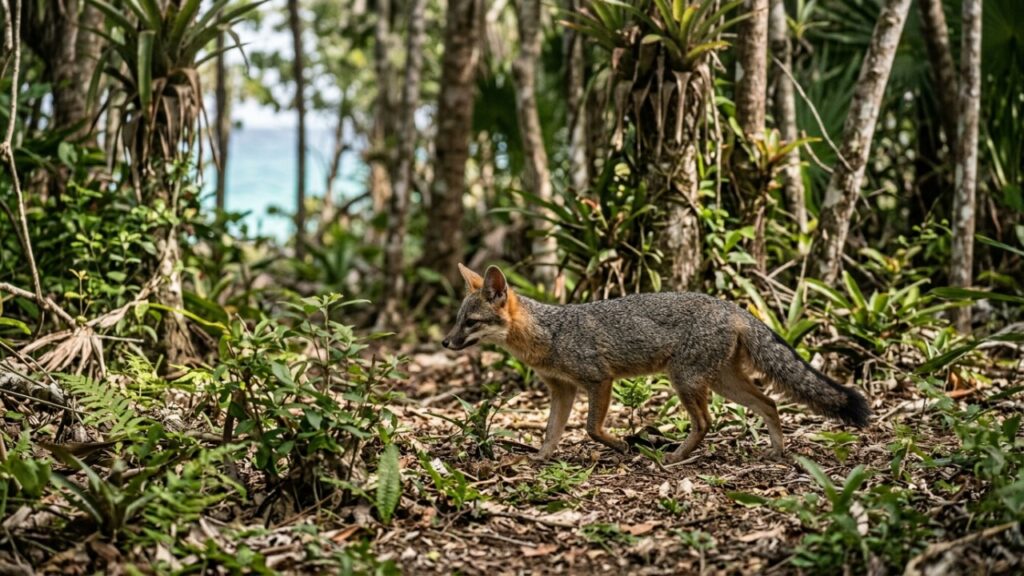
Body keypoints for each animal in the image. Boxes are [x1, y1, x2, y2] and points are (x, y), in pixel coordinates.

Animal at [442, 264, 871, 464]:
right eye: (457, 319)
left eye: (470, 322)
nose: (446, 342)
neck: (549, 333)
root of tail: (732, 305)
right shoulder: (560, 390)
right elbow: (551, 432)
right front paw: (540, 459)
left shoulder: (598, 380)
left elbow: (591, 428)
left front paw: (621, 445)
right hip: (721, 382)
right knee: (770, 403)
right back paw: (776, 452)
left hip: (684, 379)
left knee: (706, 423)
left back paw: (674, 458)